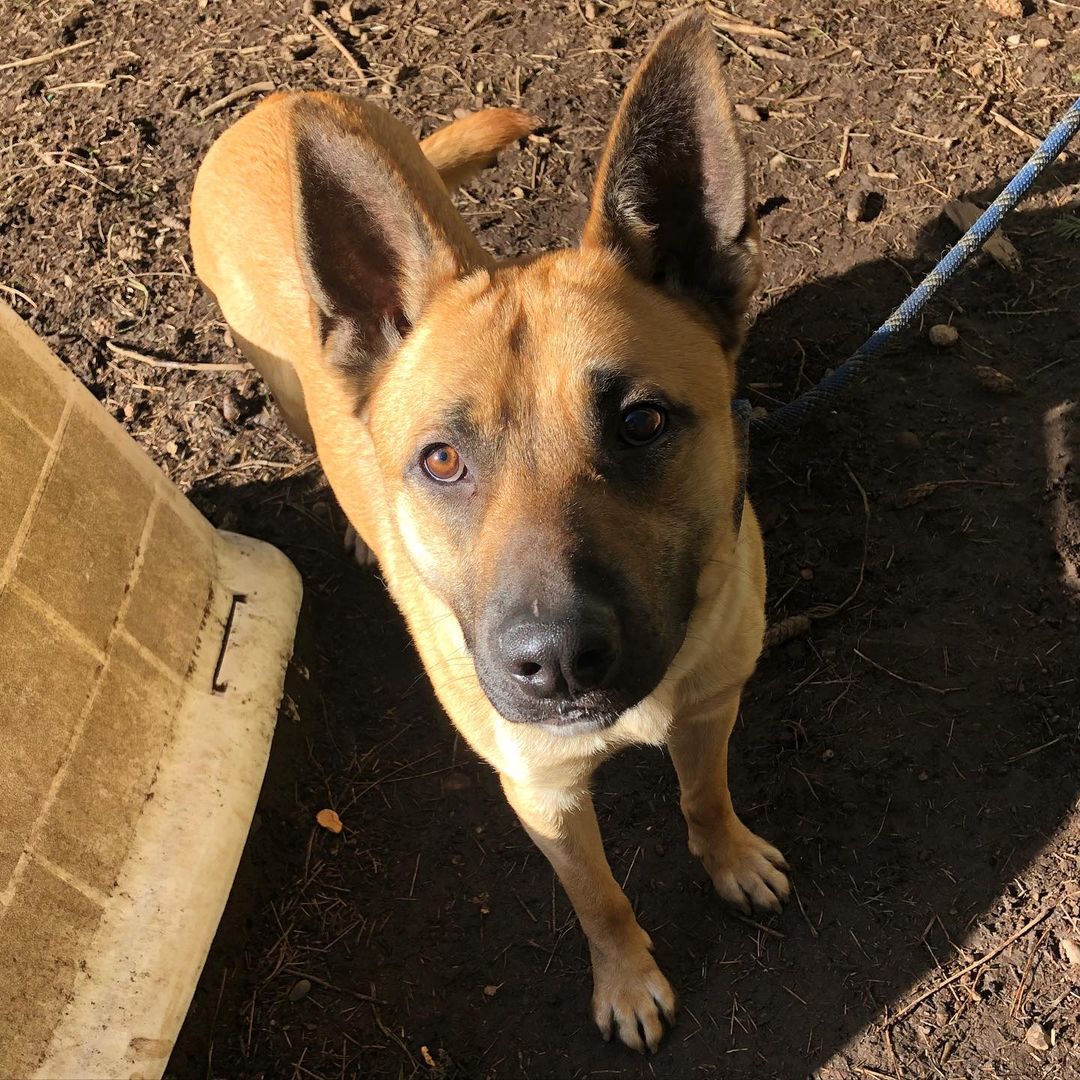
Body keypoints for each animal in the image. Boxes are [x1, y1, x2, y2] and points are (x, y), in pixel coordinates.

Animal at [192, 12, 786, 1049]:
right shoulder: (543, 796)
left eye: (641, 422)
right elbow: (598, 899)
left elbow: (704, 794)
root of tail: (270, 107)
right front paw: (627, 979)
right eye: (440, 462)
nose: (555, 663)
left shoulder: (714, 703)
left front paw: (728, 857)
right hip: (288, 386)